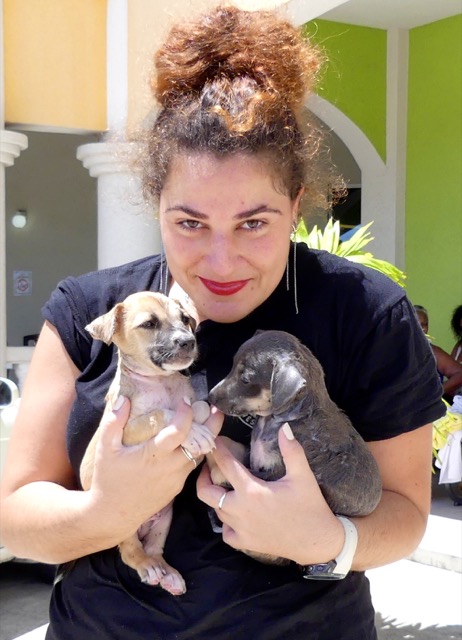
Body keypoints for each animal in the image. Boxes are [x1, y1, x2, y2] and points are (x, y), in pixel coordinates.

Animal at [80, 292, 214, 596]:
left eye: (185, 319)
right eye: (149, 324)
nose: (188, 341)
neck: (159, 383)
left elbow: (197, 405)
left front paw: (198, 421)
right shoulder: (126, 429)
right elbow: (161, 415)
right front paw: (193, 434)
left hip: (163, 521)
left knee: (154, 550)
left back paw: (168, 575)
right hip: (122, 525)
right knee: (132, 553)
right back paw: (149, 568)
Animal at [209, 330, 382, 520]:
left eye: (245, 380)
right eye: (232, 365)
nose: (210, 396)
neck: (275, 420)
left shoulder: (275, 474)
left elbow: (225, 474)